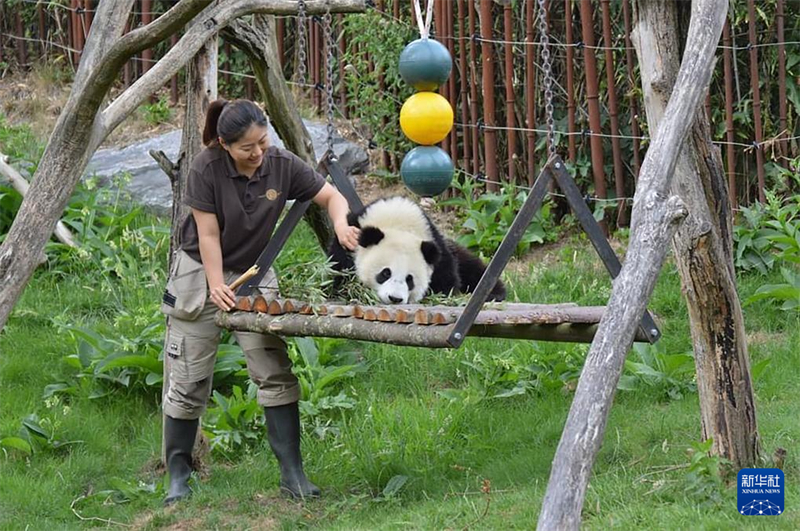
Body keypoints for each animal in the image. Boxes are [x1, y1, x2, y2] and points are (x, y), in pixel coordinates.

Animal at [326, 195, 506, 304]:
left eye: (409, 279)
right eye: (385, 273)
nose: (395, 298)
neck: (397, 221)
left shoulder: (436, 248)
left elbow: (446, 284)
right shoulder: (349, 240)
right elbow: (338, 273)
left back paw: (494, 293)